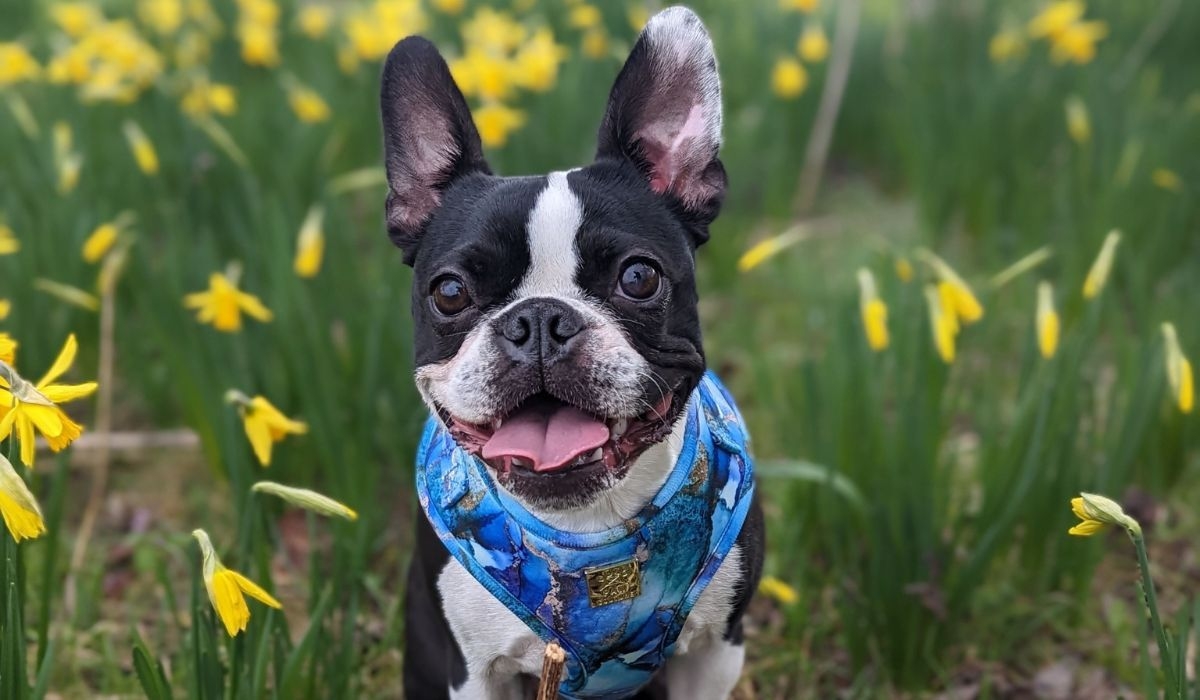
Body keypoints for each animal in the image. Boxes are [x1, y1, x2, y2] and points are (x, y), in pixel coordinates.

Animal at [384, 6, 768, 700]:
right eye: (449, 292)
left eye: (638, 277)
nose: (538, 320)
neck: (585, 528)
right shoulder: (472, 672)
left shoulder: (715, 652)